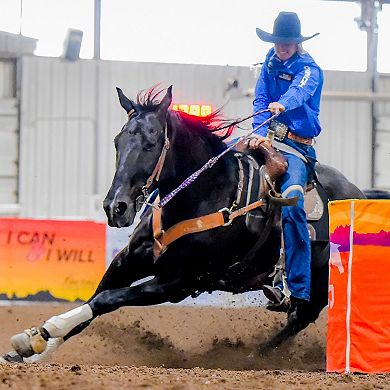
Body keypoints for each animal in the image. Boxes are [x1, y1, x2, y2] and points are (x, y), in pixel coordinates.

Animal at [3, 87, 364, 364]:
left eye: (150, 144)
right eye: (118, 141)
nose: (115, 207)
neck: (205, 194)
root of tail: (359, 195)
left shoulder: (178, 283)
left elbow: (107, 299)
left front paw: (42, 335)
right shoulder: (128, 260)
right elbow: (95, 298)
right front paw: (33, 343)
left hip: (320, 283)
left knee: (301, 317)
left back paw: (251, 358)